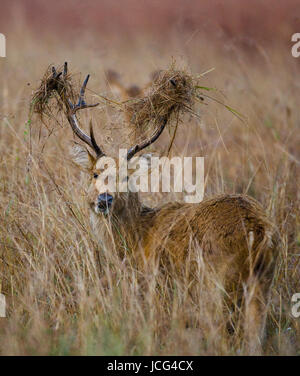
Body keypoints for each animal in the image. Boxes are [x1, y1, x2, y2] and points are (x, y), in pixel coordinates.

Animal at [48, 63, 280, 354]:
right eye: (94, 173)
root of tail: (258, 231)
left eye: (126, 176)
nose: (104, 200)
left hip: (215, 283)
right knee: (255, 338)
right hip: (263, 283)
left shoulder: (154, 287)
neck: (136, 237)